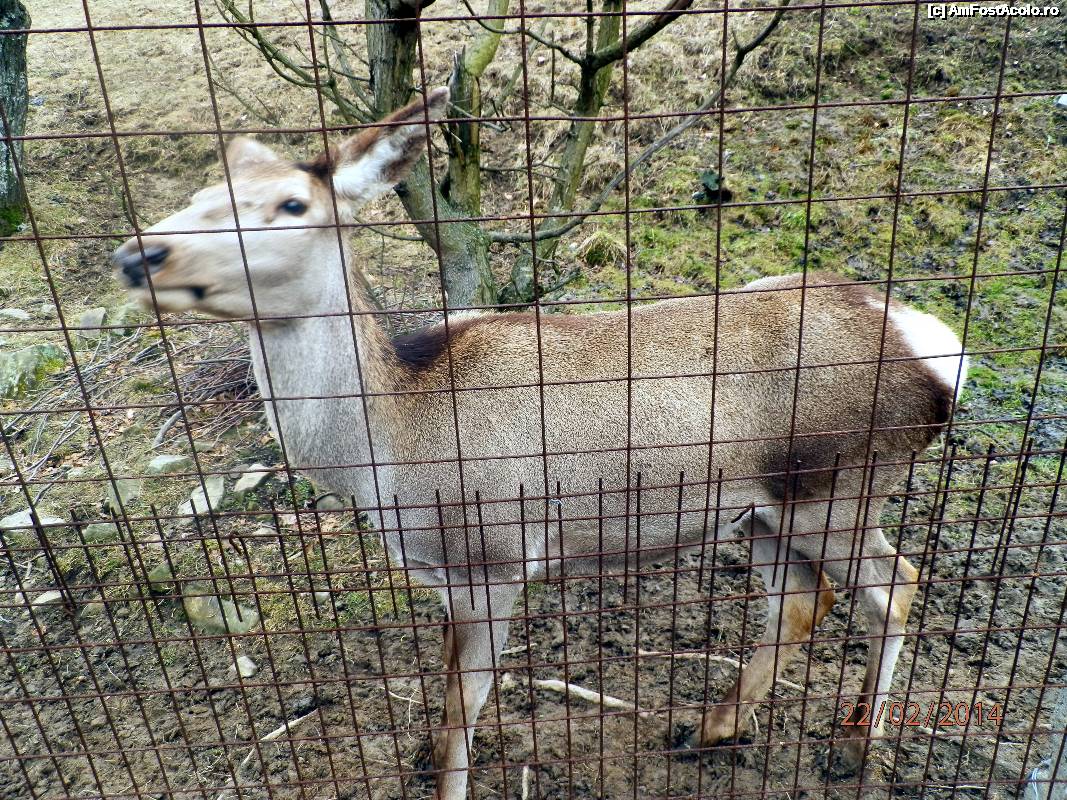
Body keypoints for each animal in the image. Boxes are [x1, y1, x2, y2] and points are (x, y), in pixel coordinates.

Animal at [113, 87, 968, 799]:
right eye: (194, 197)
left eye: (292, 203)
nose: (139, 252)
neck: (387, 446)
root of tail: (936, 352)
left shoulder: (490, 554)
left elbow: (461, 708)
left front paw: (446, 778)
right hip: (758, 507)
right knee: (800, 598)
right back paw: (709, 728)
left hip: (838, 483)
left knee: (895, 584)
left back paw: (854, 747)